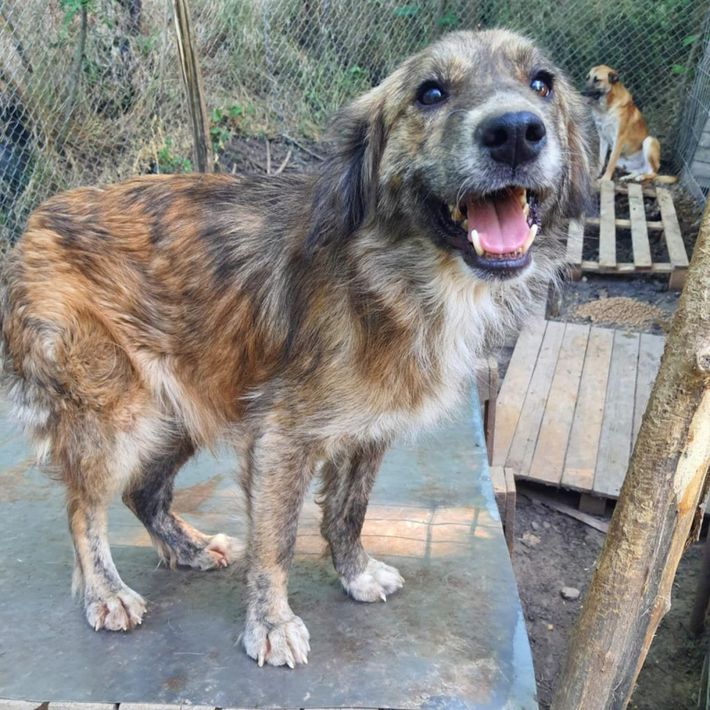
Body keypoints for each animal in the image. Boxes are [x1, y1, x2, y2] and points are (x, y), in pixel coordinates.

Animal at [0, 30, 592, 668]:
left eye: (541, 83)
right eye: (430, 93)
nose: (515, 132)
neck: (394, 275)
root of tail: (31, 226)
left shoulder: (369, 431)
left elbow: (348, 512)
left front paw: (354, 574)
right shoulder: (282, 434)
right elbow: (275, 539)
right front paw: (271, 622)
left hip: (182, 405)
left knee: (142, 489)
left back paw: (186, 547)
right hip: (116, 411)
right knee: (82, 507)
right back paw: (105, 591)